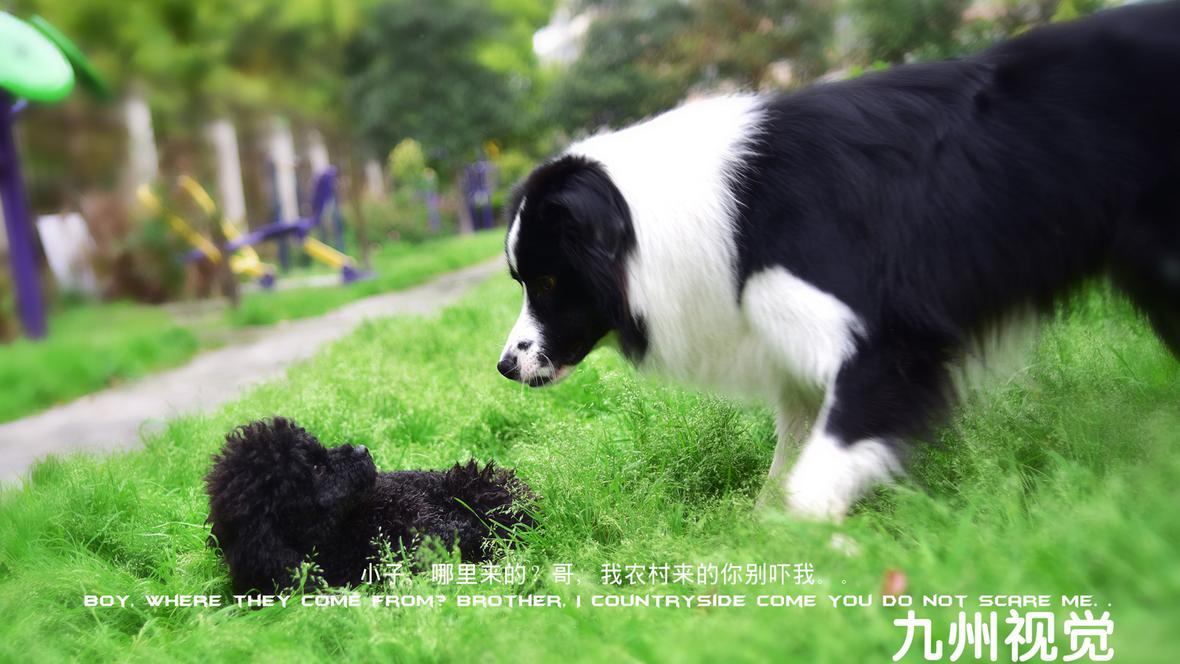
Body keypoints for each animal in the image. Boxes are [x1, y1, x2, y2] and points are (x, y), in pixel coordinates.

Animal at [496, 3, 1180, 521]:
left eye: (549, 280)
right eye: (522, 280)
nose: (504, 366)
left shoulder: (890, 341)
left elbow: (815, 472)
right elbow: (789, 454)